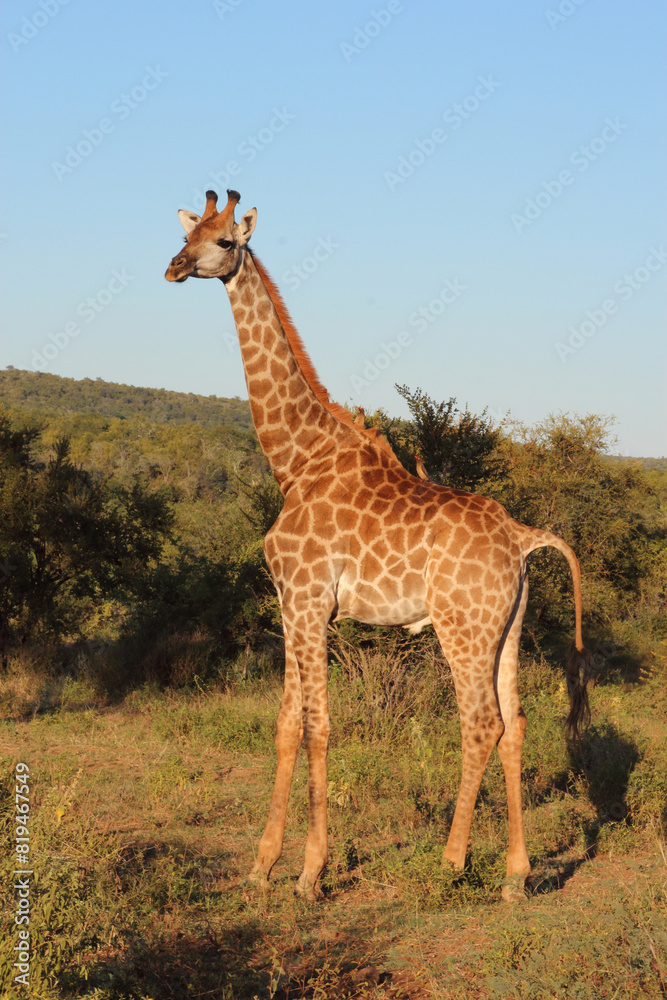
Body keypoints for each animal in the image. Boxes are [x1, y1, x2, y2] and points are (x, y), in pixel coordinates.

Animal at [165, 189, 593, 901]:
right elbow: (285, 727)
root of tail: (522, 538)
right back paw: (515, 875)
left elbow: (318, 727)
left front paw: (310, 872)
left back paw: (452, 862)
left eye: (225, 241)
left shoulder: (311, 601)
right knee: (515, 727)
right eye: (187, 233)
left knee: (481, 724)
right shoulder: (290, 604)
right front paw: (261, 865)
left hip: (461, 627)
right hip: (507, 629)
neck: (295, 460)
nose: (173, 268)